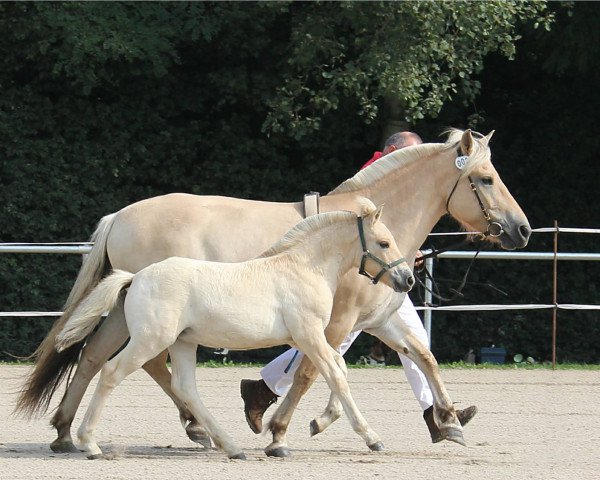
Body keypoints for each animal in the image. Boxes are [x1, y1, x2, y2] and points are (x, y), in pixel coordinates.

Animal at [15, 128, 528, 458]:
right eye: (485, 179)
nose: (520, 230)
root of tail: (118, 216)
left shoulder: (379, 319)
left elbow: (423, 358)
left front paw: (449, 421)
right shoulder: (335, 323)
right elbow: (312, 373)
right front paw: (282, 431)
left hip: (135, 318)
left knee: (97, 358)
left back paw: (68, 433)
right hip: (147, 324)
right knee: (130, 363)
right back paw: (178, 430)